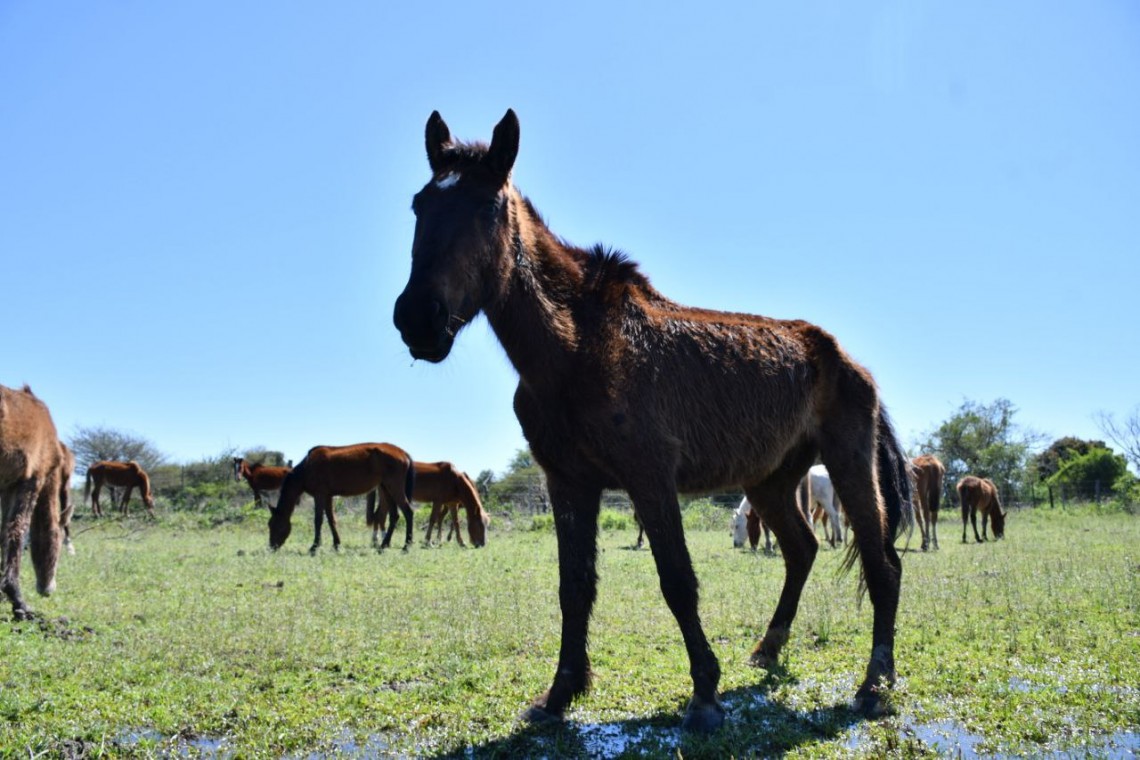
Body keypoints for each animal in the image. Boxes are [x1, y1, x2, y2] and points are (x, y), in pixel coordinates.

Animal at [1, 384, 66, 620]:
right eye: (59, 540)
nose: (47, 588)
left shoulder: (7, 486)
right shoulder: (31, 478)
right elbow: (17, 532)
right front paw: (18, 601)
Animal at [269, 443, 415, 555]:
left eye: (275, 525)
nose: (271, 547)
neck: (307, 467)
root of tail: (403, 453)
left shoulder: (319, 495)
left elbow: (318, 520)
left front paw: (314, 547)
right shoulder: (328, 496)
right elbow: (331, 520)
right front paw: (336, 545)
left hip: (394, 488)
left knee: (408, 512)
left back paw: (406, 547)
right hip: (386, 489)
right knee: (394, 516)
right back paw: (383, 546)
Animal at [393, 109, 913, 730]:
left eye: (487, 209)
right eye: (419, 205)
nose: (418, 319)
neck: (577, 347)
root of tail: (847, 360)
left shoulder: (650, 478)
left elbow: (677, 582)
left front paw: (705, 694)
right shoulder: (568, 483)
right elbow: (575, 587)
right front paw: (561, 693)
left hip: (849, 465)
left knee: (882, 565)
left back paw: (875, 681)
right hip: (770, 480)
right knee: (802, 550)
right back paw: (769, 649)